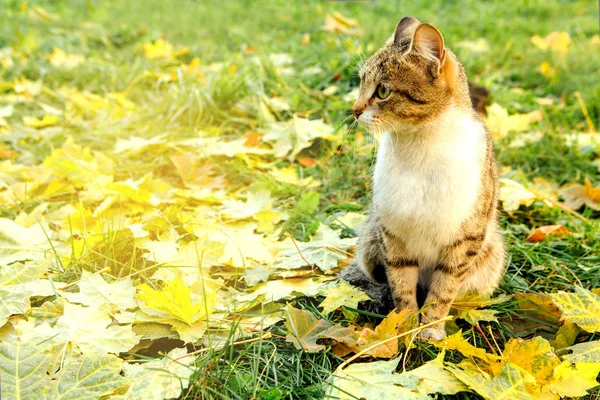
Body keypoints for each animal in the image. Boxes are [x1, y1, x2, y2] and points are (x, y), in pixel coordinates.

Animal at [340, 17, 504, 340]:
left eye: (383, 91)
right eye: (361, 81)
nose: (354, 111)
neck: (419, 142)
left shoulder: (465, 238)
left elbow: (444, 289)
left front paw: (430, 329)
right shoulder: (393, 233)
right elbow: (401, 284)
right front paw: (403, 326)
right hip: (370, 244)